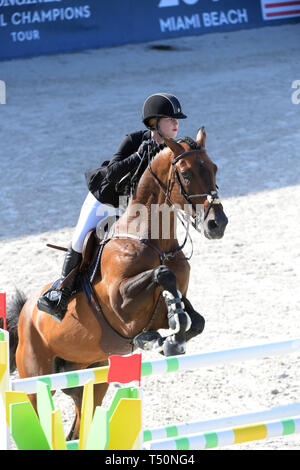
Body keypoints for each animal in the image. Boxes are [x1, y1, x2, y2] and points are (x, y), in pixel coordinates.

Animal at [7, 126, 227, 440]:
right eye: (185, 173)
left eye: (214, 168)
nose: (217, 224)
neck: (156, 243)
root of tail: (25, 314)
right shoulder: (122, 305)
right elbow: (162, 275)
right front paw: (156, 339)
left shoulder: (172, 301)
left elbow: (194, 320)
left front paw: (171, 337)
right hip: (35, 379)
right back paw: (53, 300)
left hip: (89, 379)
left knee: (78, 426)